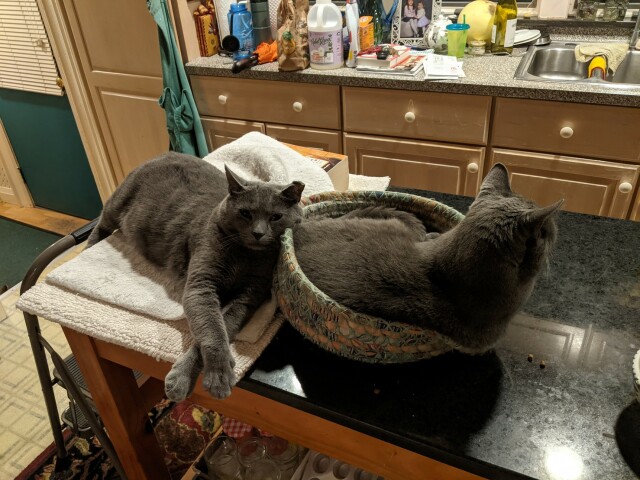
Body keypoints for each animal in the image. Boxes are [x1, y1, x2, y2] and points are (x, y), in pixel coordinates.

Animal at [87, 152, 304, 400]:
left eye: (276, 217)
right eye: (245, 213)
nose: (258, 233)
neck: (244, 256)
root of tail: (164, 154)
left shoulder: (249, 295)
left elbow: (223, 324)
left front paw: (194, 377)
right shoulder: (201, 284)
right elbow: (211, 328)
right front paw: (216, 376)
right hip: (117, 203)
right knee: (101, 222)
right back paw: (89, 245)